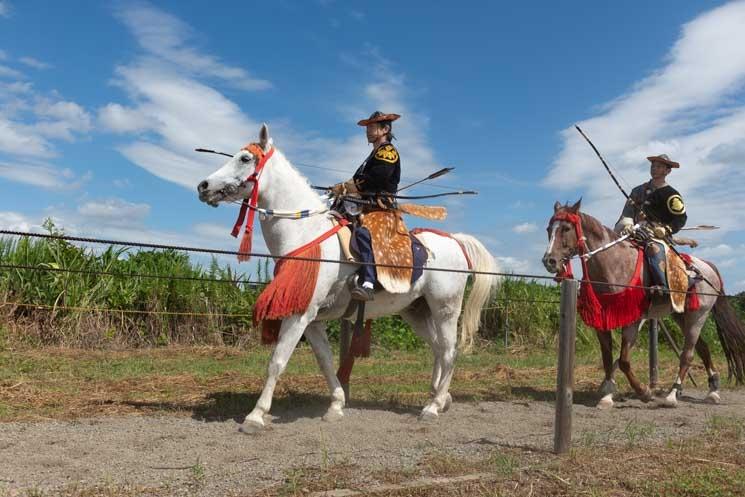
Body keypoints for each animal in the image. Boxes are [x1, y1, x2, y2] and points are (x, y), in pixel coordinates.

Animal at [198, 123, 496, 430]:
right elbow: (326, 361)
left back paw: (433, 406)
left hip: (446, 308)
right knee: (438, 349)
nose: (203, 186)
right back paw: (440, 396)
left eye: (245, 158)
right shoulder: (313, 320)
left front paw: (256, 415)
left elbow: (277, 361)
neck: (305, 232)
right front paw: (336, 405)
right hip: (416, 310)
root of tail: (455, 241)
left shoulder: (299, 314)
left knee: (449, 351)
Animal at [540, 201, 744, 406]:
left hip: (699, 315)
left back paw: (672, 394)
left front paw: (644, 392)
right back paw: (713, 390)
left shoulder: (633, 320)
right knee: (703, 348)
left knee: (688, 354)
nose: (549, 261)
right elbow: (608, 358)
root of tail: (708, 267)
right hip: (681, 315)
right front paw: (606, 395)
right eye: (549, 229)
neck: (613, 264)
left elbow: (623, 360)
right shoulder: (602, 320)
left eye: (566, 228)